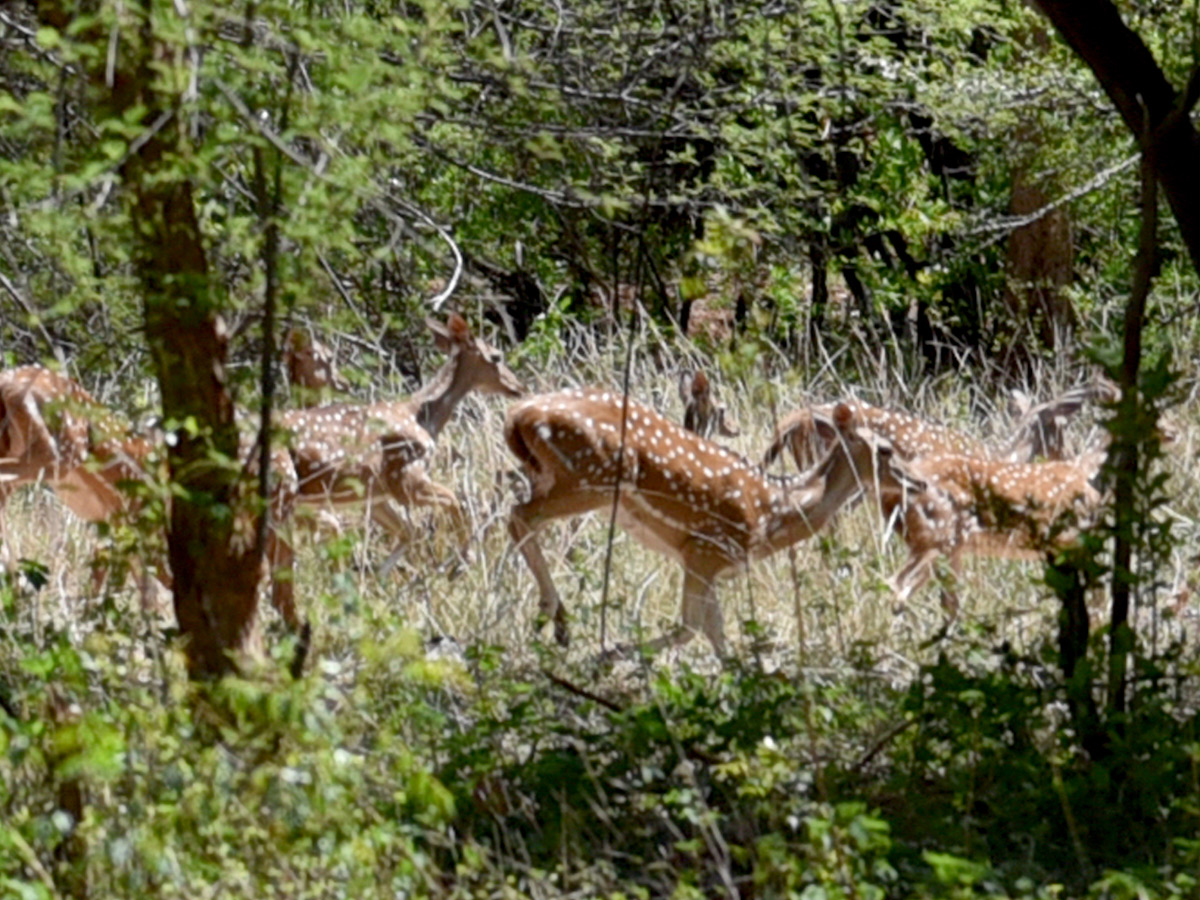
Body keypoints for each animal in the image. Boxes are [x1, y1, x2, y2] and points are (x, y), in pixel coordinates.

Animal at [283, 314, 528, 571]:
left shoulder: (375, 494)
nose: (519, 387)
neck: (422, 419)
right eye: (496, 356)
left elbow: (409, 531)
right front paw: (464, 559)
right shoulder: (404, 477)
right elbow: (453, 503)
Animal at [504, 388, 916, 657]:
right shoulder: (705, 548)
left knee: (520, 516)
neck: (772, 514)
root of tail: (517, 416)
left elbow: (714, 633)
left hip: (554, 476)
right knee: (519, 515)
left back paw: (557, 622)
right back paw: (556, 620)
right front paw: (609, 654)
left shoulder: (712, 562)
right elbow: (692, 626)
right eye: (885, 450)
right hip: (593, 478)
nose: (919, 482)